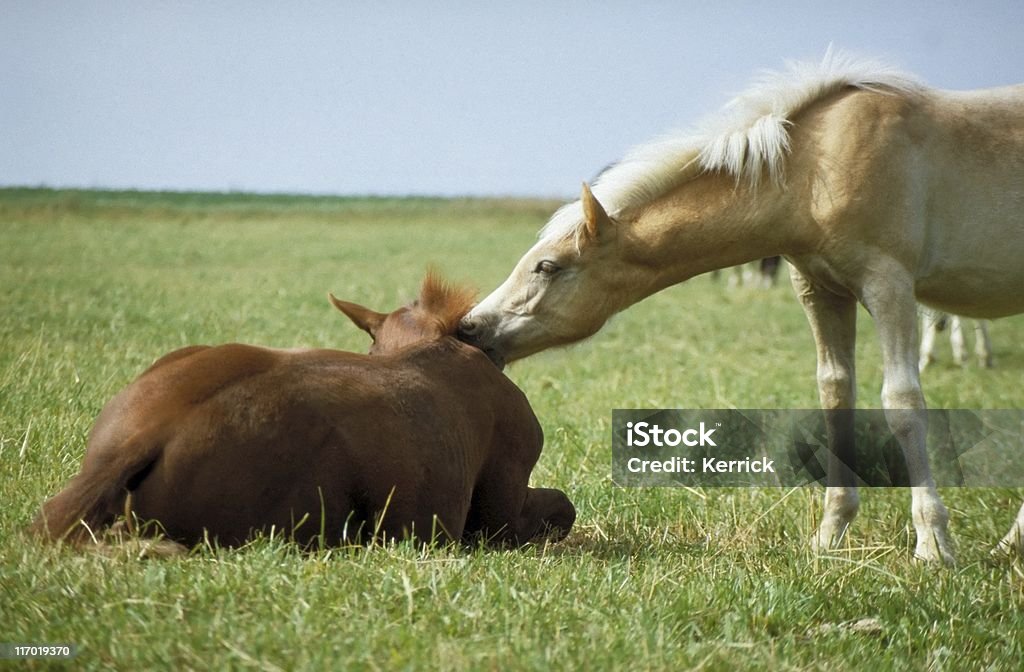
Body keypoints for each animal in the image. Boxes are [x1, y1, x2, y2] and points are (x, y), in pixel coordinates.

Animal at [464, 51, 1024, 561]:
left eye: (548, 267)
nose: (471, 327)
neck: (815, 166)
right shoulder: (821, 289)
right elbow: (835, 396)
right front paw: (829, 535)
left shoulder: (889, 285)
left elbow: (903, 403)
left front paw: (933, 544)